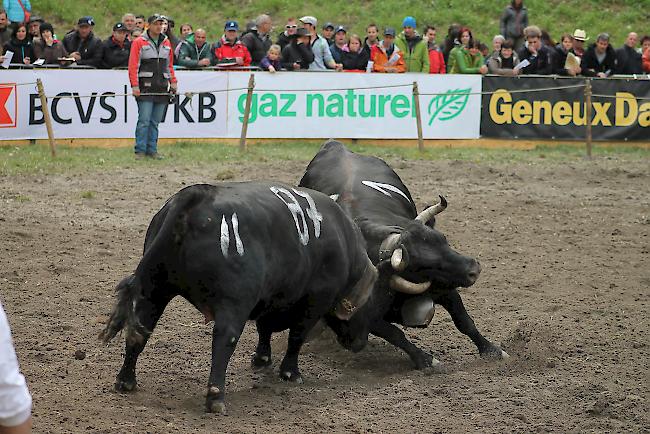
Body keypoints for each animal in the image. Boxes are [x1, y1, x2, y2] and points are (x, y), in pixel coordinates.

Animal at [98, 181, 378, 412]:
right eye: (368, 307)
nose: (360, 343)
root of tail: (196, 196)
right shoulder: (315, 301)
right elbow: (296, 337)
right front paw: (290, 372)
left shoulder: (272, 297)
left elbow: (265, 329)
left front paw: (261, 359)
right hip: (233, 304)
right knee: (224, 340)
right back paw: (216, 397)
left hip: (153, 292)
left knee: (139, 333)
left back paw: (126, 381)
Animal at [298, 140, 506, 370]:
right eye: (424, 266)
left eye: (443, 239)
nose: (473, 269)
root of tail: (335, 145)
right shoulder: (367, 319)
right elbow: (396, 335)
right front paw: (426, 360)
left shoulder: (444, 287)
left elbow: (464, 321)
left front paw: (491, 349)